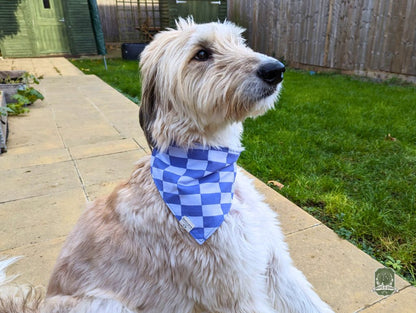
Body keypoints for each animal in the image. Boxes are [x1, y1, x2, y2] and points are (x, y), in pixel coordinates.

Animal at [0, 18, 334, 312]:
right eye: (202, 54)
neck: (205, 168)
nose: (276, 70)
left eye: (240, 42)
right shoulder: (237, 292)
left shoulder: (275, 265)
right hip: (107, 304)